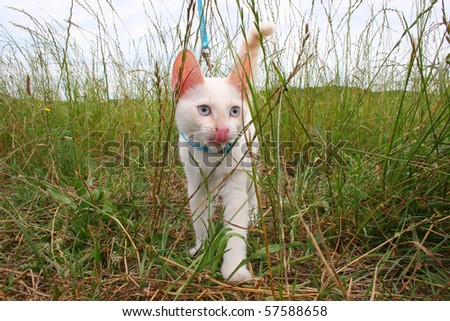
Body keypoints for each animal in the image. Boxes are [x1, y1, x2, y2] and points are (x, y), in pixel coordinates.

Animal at [171, 21, 272, 280]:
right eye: (204, 110)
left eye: (234, 111)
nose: (223, 130)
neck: (212, 157)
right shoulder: (195, 184)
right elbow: (200, 219)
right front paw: (202, 248)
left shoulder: (235, 180)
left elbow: (236, 227)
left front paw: (234, 269)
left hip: (250, 159)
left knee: (252, 191)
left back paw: (254, 213)